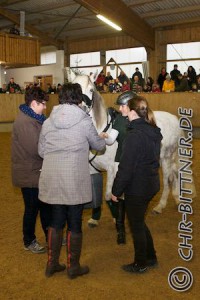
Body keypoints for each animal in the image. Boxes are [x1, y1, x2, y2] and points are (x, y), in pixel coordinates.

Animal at [66, 69, 187, 212]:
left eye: (90, 90)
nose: (81, 108)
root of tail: (174, 119)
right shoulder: (92, 170)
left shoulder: (113, 170)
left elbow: (109, 196)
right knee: (175, 176)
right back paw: (177, 199)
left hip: (166, 158)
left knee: (168, 179)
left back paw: (160, 206)